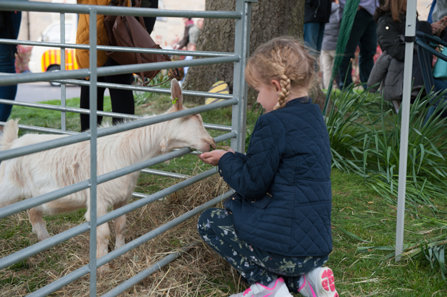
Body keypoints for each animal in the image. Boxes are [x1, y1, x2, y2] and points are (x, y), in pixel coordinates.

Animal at [0, 78, 216, 268]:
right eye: (197, 119)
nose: (212, 144)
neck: (128, 152)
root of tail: (13, 143)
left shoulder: (123, 198)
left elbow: (120, 225)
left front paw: (121, 251)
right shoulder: (99, 201)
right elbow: (103, 233)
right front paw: (103, 266)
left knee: (33, 212)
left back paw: (46, 241)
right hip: (8, 189)